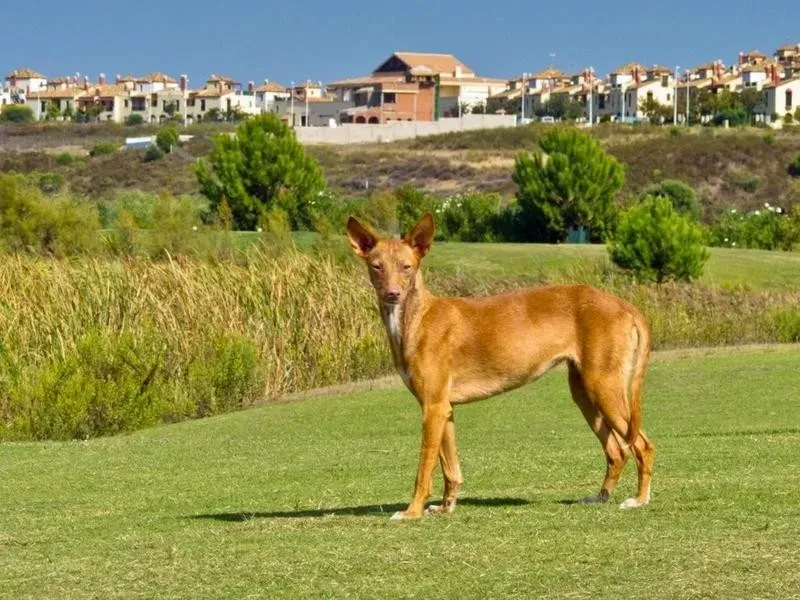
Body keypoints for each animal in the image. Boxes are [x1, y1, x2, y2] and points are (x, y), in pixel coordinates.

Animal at [346, 213, 652, 516]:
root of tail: (623, 305)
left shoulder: (432, 407)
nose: (392, 294)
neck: (417, 319)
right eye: (376, 267)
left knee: (643, 445)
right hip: (584, 393)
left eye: (407, 267)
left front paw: (411, 511)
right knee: (616, 451)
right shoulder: (443, 408)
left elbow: (424, 468)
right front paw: (446, 507)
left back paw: (639, 499)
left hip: (604, 387)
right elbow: (450, 469)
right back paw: (601, 497)